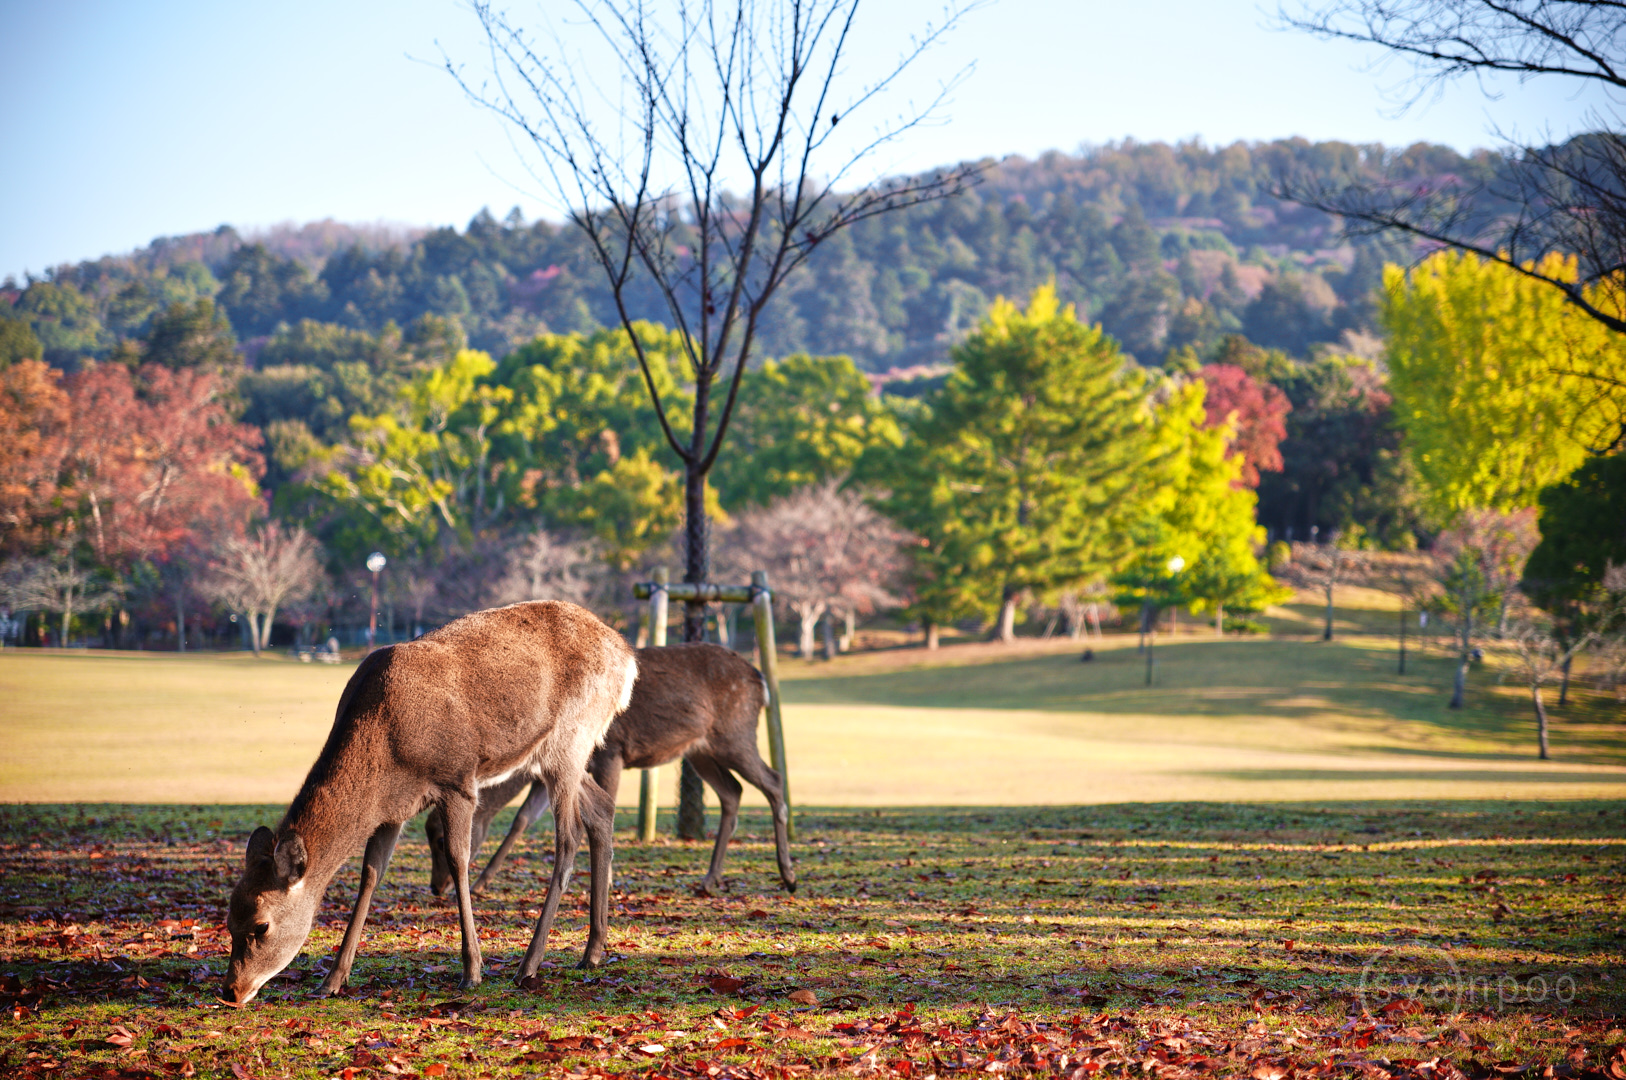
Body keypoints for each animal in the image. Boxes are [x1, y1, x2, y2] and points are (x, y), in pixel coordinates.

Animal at [221, 598, 634, 1001]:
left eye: (261, 925)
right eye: (228, 920)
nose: (231, 991)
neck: (386, 749)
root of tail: (627, 658)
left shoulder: (458, 780)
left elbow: (457, 859)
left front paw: (472, 971)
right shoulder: (391, 810)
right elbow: (370, 874)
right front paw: (333, 979)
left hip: (570, 737)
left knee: (569, 836)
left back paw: (529, 963)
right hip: (557, 753)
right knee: (601, 809)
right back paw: (593, 951)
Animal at [426, 644, 793, 897]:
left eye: (442, 839)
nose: (436, 888)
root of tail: (760, 679)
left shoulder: (610, 751)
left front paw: (609, 879)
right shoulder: (552, 769)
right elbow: (522, 819)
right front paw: (483, 881)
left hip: (736, 732)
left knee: (774, 781)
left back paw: (787, 875)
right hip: (701, 749)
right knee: (733, 791)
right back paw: (709, 879)